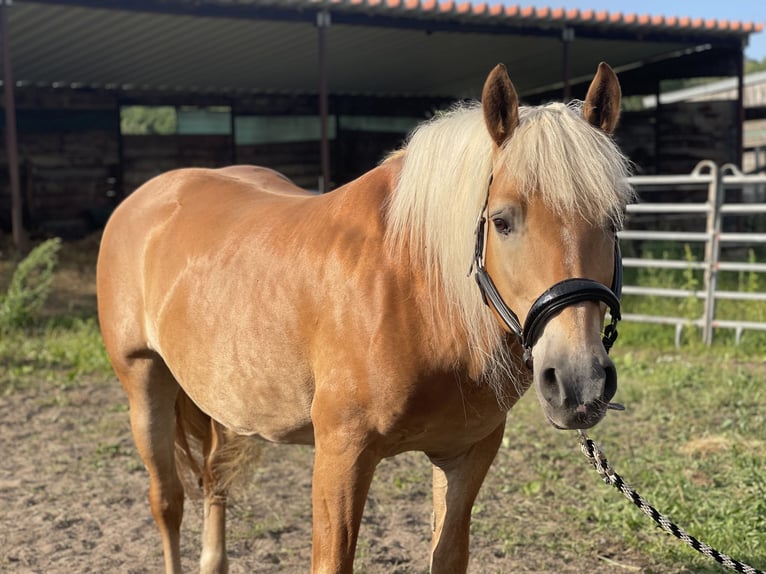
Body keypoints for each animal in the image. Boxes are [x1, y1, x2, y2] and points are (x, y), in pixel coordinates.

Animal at [97, 62, 636, 572]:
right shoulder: (342, 453)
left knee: (215, 478)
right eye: (502, 221)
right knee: (167, 501)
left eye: (613, 221)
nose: (578, 382)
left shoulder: (466, 453)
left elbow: (448, 556)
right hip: (145, 384)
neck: (414, 288)